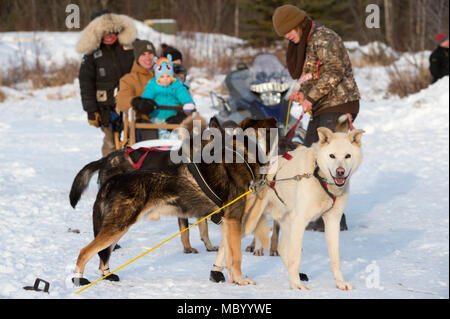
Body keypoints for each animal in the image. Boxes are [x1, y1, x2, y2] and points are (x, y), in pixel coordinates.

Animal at [218, 127, 366, 290]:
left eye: (347, 156)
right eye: (332, 155)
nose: (340, 171)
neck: (318, 174)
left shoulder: (332, 220)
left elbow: (335, 258)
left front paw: (340, 282)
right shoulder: (300, 221)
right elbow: (296, 257)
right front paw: (296, 285)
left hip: (286, 221)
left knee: (281, 248)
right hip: (250, 221)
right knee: (226, 244)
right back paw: (226, 275)